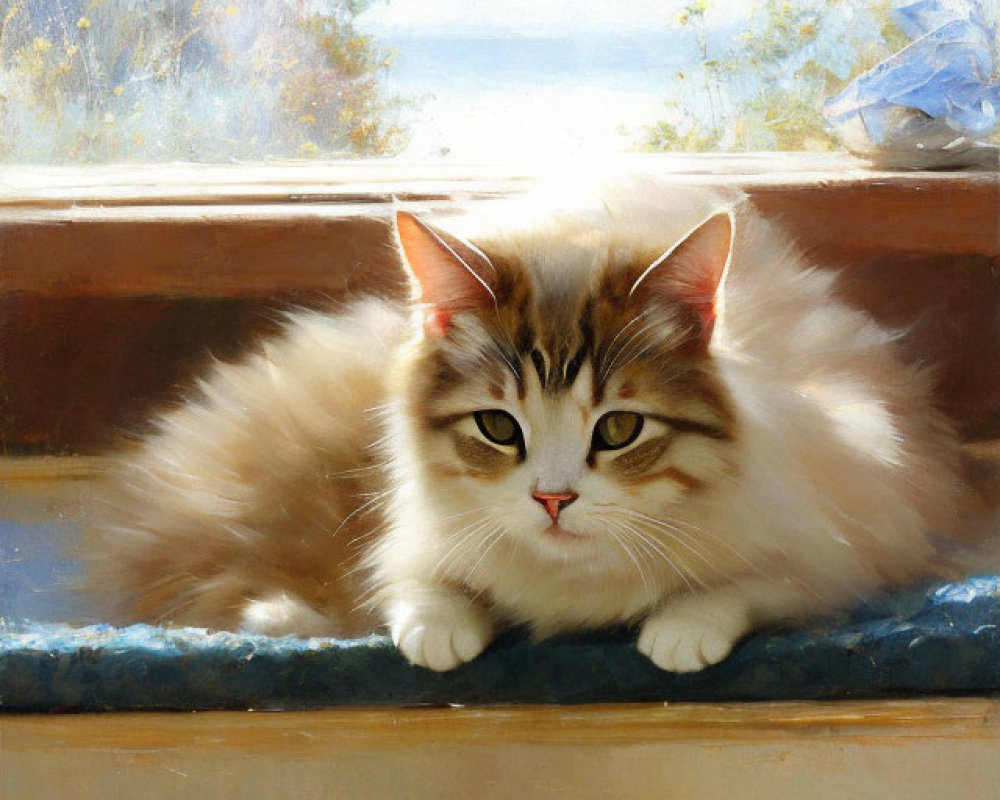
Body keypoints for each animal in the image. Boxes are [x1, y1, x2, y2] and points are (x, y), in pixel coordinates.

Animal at [90, 178, 964, 672]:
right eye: (497, 427)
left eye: (618, 430)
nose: (552, 499)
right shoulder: (414, 533)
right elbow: (417, 583)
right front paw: (438, 629)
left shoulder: (844, 540)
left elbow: (740, 588)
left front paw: (680, 633)